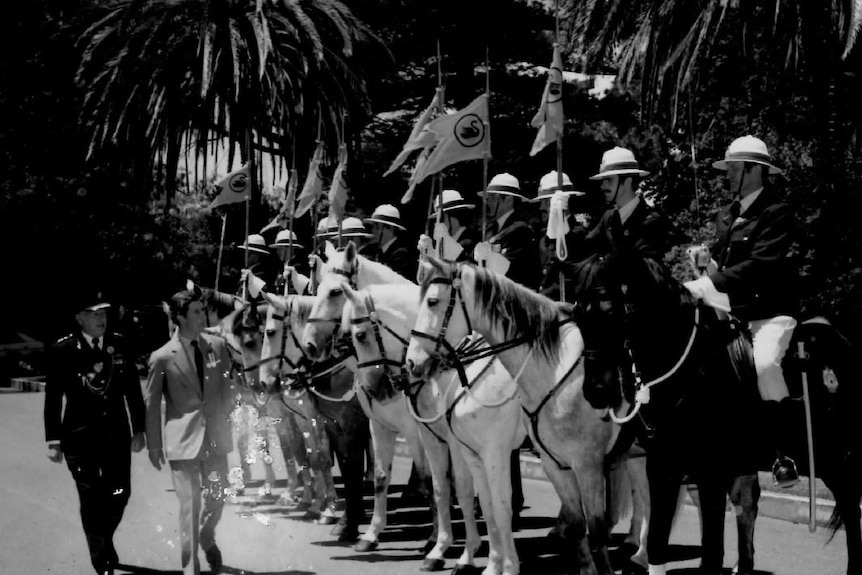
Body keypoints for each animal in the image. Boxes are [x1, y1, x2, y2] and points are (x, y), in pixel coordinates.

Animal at [344, 282, 532, 575]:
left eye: (360, 335)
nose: (374, 389)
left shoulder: (460, 444)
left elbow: (463, 491)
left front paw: (462, 553)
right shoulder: (431, 437)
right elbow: (441, 487)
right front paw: (440, 549)